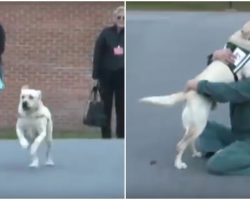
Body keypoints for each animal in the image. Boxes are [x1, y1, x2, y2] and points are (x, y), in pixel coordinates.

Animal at [140, 21, 250, 170]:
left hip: (195, 124)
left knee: (190, 142)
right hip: (199, 124)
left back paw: (197, 153)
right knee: (181, 145)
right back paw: (179, 164)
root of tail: (187, 94)